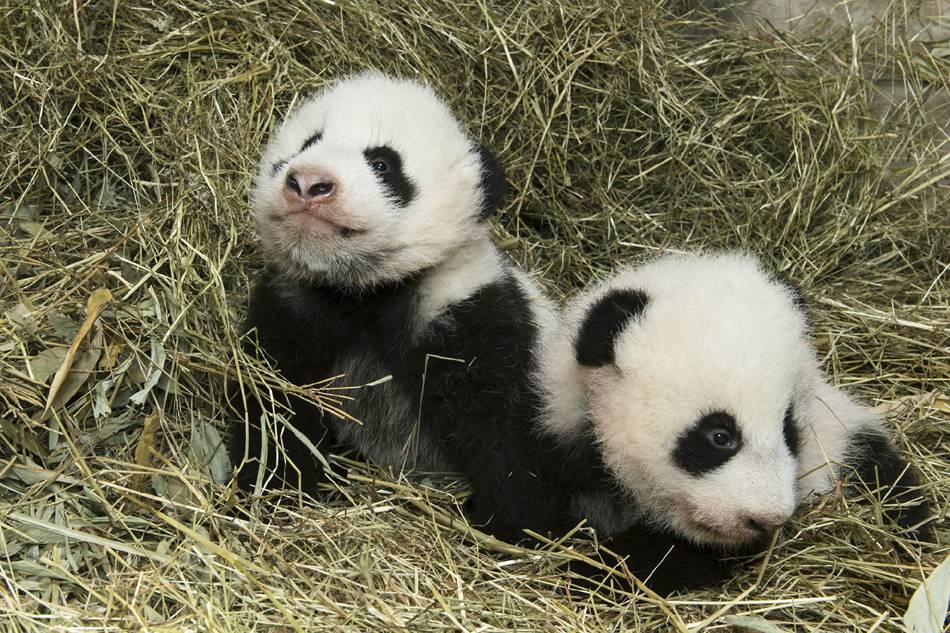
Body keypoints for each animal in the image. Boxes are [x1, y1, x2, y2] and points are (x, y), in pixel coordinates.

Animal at [228, 71, 571, 538]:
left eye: (382, 164)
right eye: (306, 144)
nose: (309, 183)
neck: (364, 291)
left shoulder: (467, 312)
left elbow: (503, 426)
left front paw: (516, 525)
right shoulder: (294, 307)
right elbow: (274, 402)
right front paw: (278, 486)